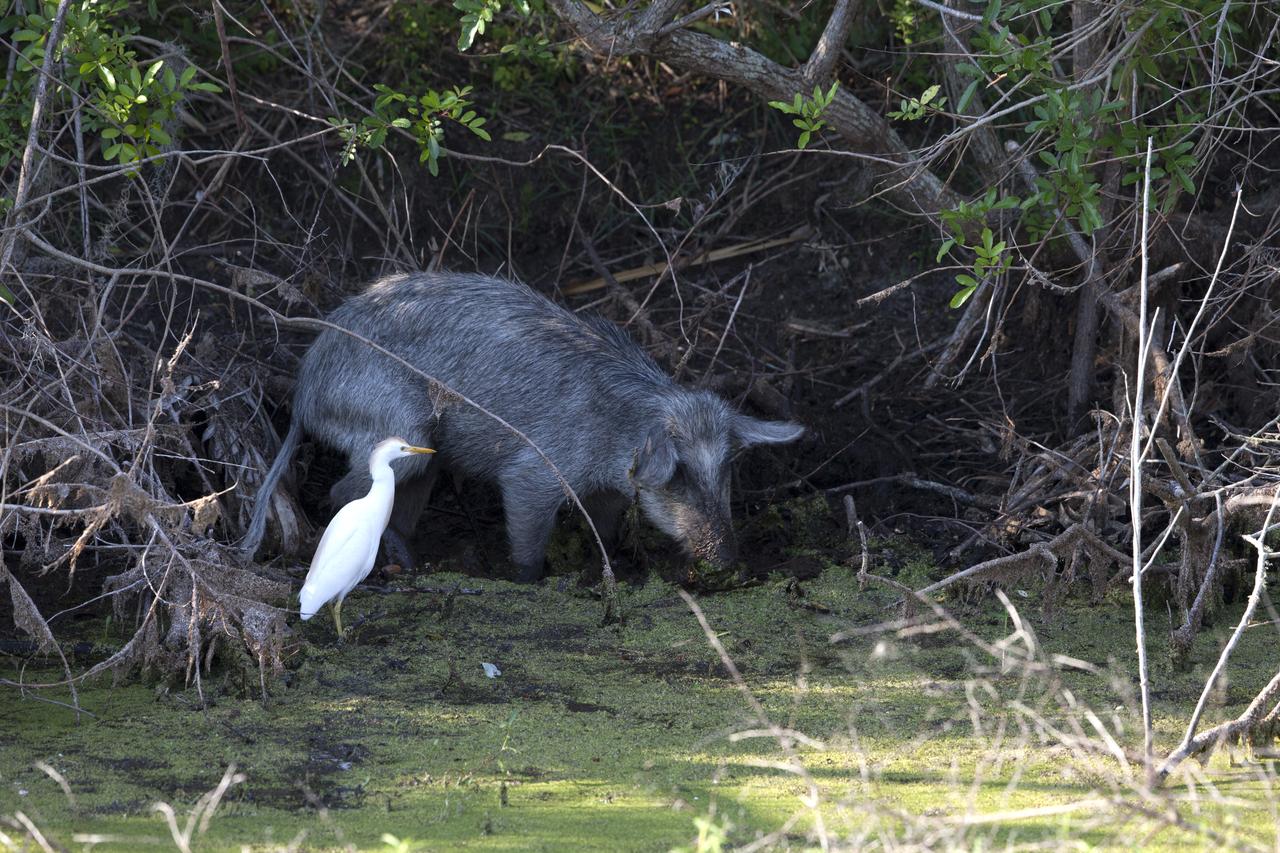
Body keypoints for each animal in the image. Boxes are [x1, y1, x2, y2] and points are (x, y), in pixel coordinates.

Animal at [244, 272, 804, 581]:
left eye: (727, 469)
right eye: (680, 474)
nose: (730, 560)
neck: (616, 428)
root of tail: (304, 387)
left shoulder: (608, 491)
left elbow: (606, 530)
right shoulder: (532, 473)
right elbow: (528, 544)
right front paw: (529, 579)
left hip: (424, 453)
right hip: (400, 426)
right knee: (341, 493)